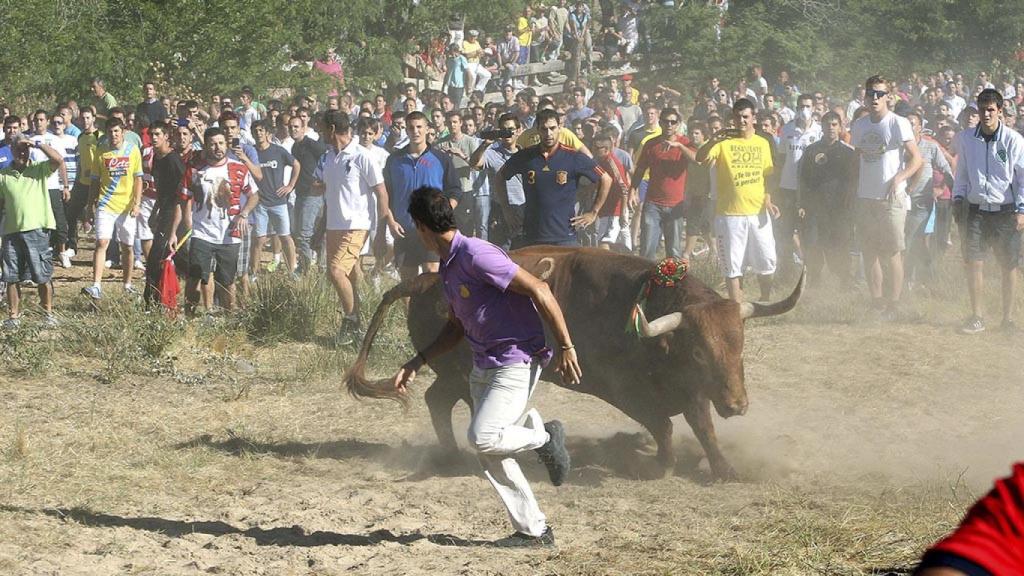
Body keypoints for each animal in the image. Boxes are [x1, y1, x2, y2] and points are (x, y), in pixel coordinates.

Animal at [344, 243, 798, 477]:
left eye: (739, 345)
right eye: (701, 350)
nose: (737, 405)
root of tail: (425, 280)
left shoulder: (691, 388)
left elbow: (702, 426)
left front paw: (723, 469)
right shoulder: (625, 390)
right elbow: (663, 424)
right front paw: (664, 463)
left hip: (456, 373)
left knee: (438, 399)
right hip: (461, 373)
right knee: (447, 402)